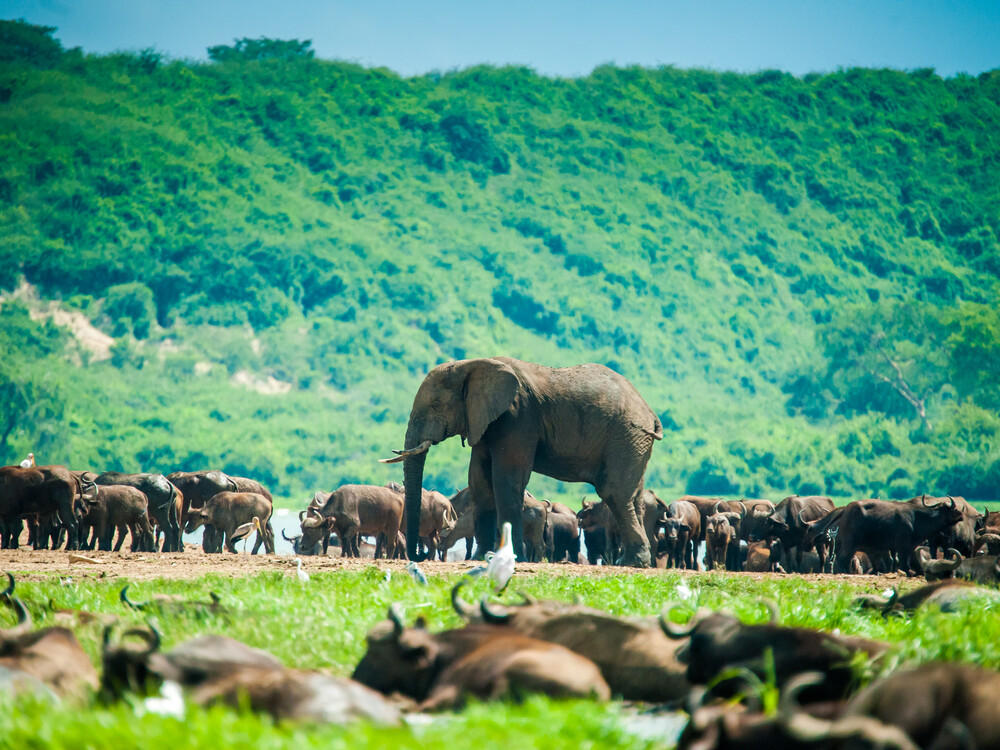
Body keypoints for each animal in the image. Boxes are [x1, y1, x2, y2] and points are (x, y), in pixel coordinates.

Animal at [383, 357, 662, 567]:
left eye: (437, 405)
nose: (420, 556)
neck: (470, 365)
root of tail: (650, 413)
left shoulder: (516, 417)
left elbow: (506, 479)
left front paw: (512, 558)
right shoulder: (484, 421)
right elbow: (479, 482)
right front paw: (480, 558)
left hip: (626, 435)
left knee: (614, 493)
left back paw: (634, 563)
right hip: (634, 441)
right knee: (633, 496)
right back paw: (633, 562)